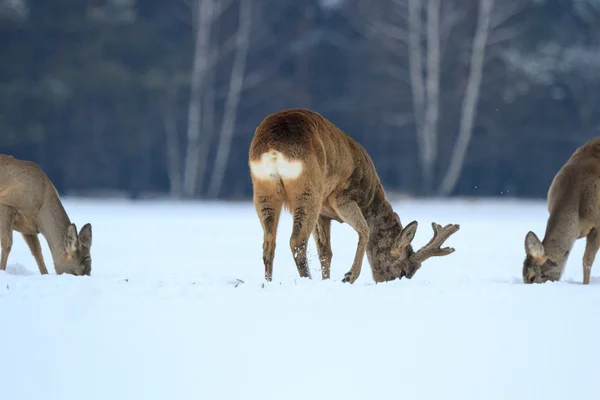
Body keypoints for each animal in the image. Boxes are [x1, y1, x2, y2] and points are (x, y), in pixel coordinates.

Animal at [248, 108, 460, 282]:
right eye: (403, 271)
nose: (388, 282)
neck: (371, 198)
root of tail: (273, 149)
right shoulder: (343, 197)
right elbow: (364, 229)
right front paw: (349, 276)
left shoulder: (324, 214)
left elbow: (325, 251)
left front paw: (327, 279)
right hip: (308, 190)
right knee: (297, 240)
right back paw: (307, 280)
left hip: (263, 191)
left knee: (269, 242)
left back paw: (269, 282)